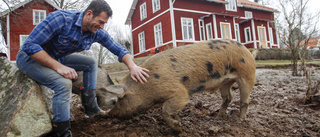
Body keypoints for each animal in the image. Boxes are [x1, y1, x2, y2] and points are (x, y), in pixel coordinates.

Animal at [101, 39, 256, 132]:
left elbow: (165, 110)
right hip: (225, 82)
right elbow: (171, 110)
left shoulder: (179, 91)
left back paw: (240, 121)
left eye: (120, 99)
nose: (109, 114)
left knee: (245, 100)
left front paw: (179, 128)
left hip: (247, 74)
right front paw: (179, 122)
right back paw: (219, 116)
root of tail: (248, 51)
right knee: (228, 97)